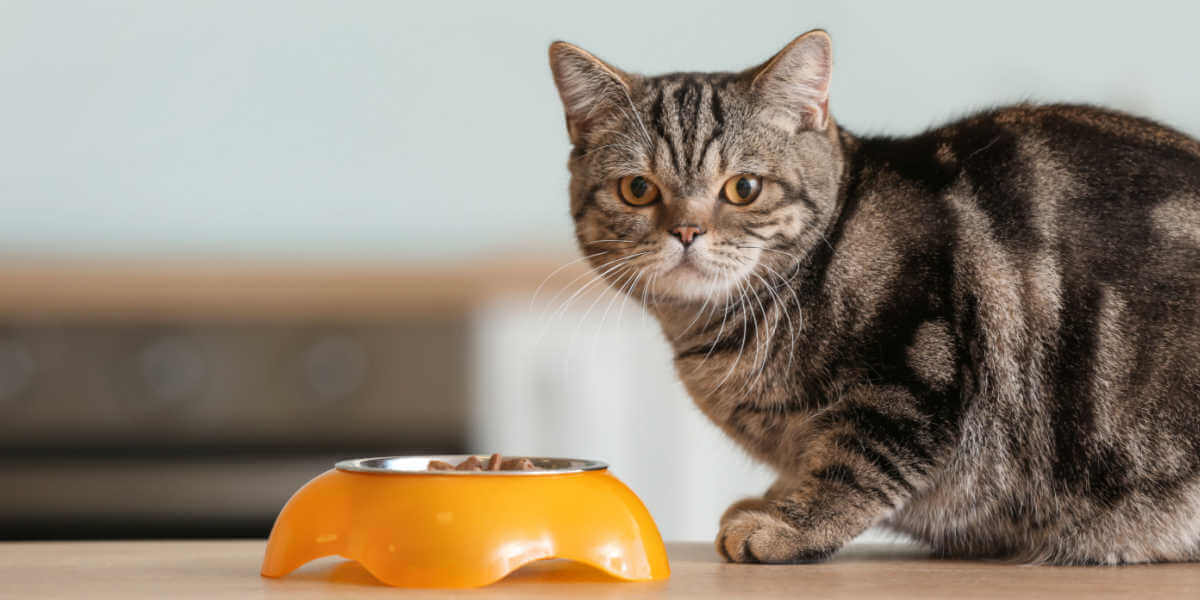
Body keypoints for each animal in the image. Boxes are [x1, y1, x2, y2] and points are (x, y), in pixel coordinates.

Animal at [547, 30, 1200, 564]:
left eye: (744, 188)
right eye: (638, 190)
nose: (686, 231)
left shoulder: (915, 373)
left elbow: (858, 465)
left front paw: (791, 526)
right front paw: (773, 499)